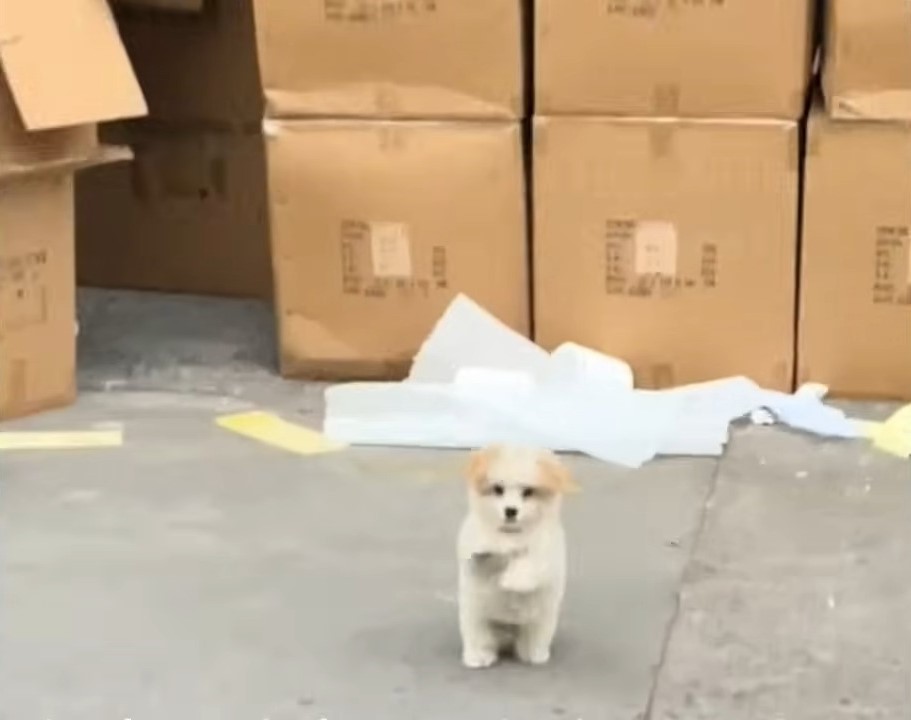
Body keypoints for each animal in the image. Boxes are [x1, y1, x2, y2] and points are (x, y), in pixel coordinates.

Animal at [456, 444, 576, 668]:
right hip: (477, 617)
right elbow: (480, 556)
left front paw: (514, 580)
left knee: (533, 638)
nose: (510, 511)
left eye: (528, 492)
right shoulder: (473, 545)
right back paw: (478, 657)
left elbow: (529, 562)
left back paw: (534, 655)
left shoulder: (545, 549)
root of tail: (508, 631)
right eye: (498, 489)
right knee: (480, 638)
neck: (511, 534)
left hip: (539, 620)